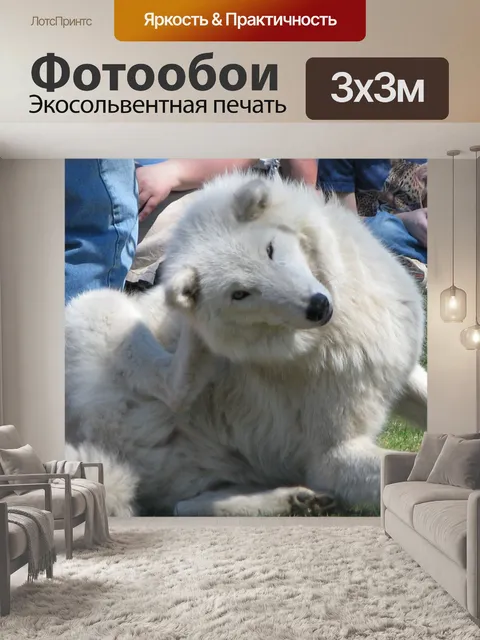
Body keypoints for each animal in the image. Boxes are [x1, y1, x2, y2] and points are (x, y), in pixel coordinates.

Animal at [65, 172, 427, 517]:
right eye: (240, 294)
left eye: (270, 250)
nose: (318, 307)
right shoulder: (332, 456)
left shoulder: (401, 373)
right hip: (93, 305)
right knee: (175, 389)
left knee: (185, 507)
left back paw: (295, 500)